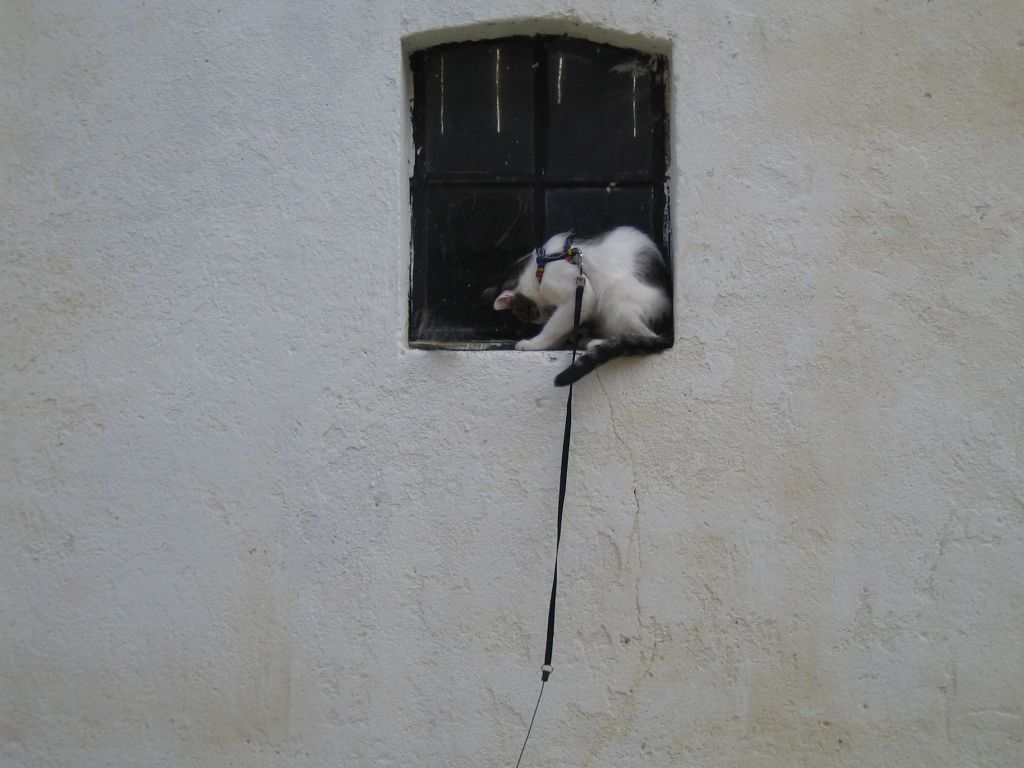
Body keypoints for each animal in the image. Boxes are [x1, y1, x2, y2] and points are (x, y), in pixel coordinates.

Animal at [485, 226, 672, 386]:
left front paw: (535, 343)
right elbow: (562, 326)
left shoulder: (580, 294)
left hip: (617, 298)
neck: (540, 268)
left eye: (526, 313)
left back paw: (596, 343)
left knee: (645, 334)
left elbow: (554, 327)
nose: (540, 320)